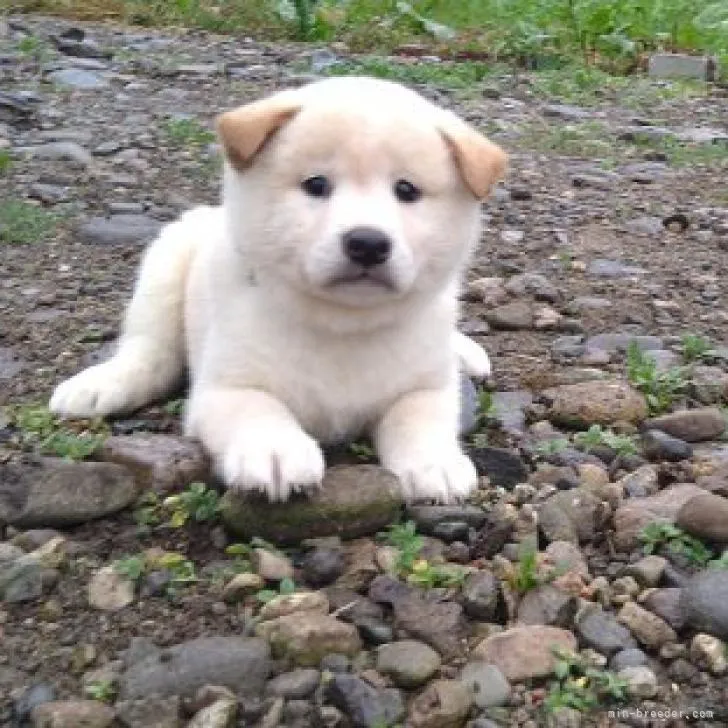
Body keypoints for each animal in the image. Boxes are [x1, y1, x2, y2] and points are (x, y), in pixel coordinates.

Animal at [51, 77, 506, 504]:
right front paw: (276, 452)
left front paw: (435, 463)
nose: (367, 243)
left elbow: (417, 417)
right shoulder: (225, 388)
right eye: (316, 184)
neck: (342, 325)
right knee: (149, 348)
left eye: (407, 190)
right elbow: (258, 407)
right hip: (166, 262)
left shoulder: (426, 385)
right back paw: (102, 384)